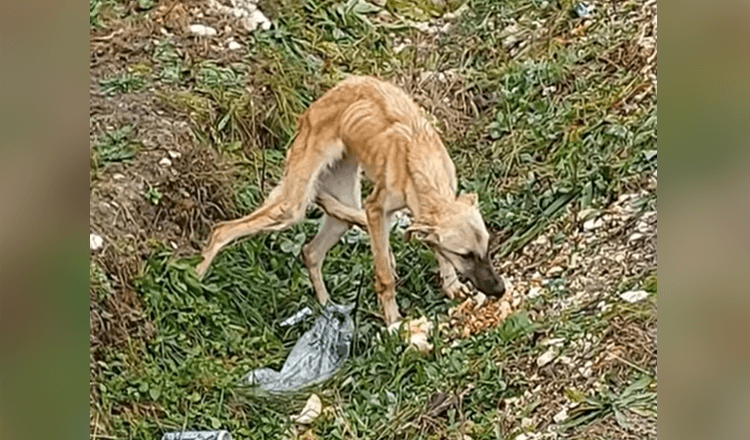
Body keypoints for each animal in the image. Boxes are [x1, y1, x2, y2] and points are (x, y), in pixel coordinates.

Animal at [197, 75, 508, 326]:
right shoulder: (376, 208)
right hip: (290, 207)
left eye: (487, 247)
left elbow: (435, 248)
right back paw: (195, 279)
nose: (500, 290)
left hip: (338, 207)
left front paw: (451, 284)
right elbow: (384, 275)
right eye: (466, 255)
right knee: (222, 230)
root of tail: (313, 108)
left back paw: (328, 310)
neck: (420, 156)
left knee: (311, 252)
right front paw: (393, 321)